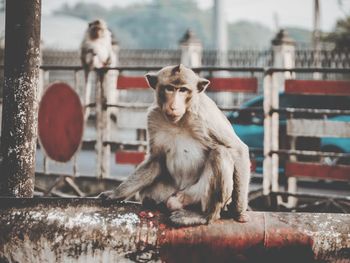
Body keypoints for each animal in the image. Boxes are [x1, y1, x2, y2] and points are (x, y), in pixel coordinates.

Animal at [100, 64, 250, 227]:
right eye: (169, 88)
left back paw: (204, 215)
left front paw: (239, 211)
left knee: (220, 153)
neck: (179, 120)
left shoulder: (204, 114)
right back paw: (153, 202)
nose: (173, 106)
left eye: (183, 90)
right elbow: (156, 158)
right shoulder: (153, 117)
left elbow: (237, 149)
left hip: (194, 193)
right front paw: (116, 193)